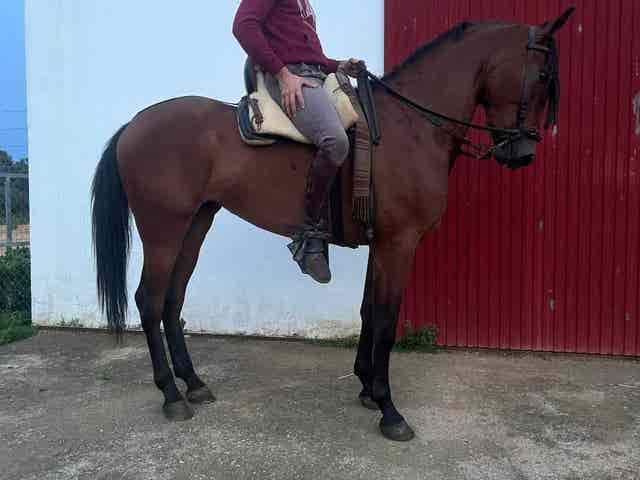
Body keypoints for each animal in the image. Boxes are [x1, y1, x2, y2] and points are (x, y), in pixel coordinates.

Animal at [91, 9, 574, 442]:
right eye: (543, 77)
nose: (522, 153)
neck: (409, 128)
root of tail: (134, 125)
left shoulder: (382, 245)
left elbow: (368, 311)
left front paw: (366, 388)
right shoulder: (399, 244)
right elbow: (386, 320)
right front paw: (389, 409)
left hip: (195, 225)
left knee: (173, 300)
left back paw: (193, 383)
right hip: (163, 231)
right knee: (150, 300)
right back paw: (171, 395)